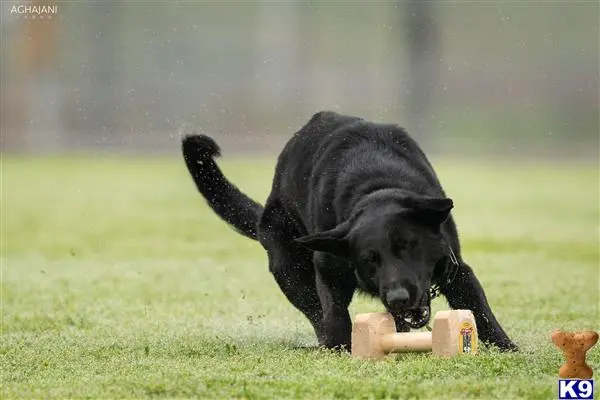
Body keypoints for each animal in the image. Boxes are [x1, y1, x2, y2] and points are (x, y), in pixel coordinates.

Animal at [180, 111, 516, 352]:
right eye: (370, 260)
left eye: (407, 245)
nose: (398, 298)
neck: (376, 186)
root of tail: (264, 212)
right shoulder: (328, 268)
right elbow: (334, 313)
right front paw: (340, 347)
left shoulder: (455, 266)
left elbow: (479, 309)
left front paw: (507, 347)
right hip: (289, 269)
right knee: (315, 311)